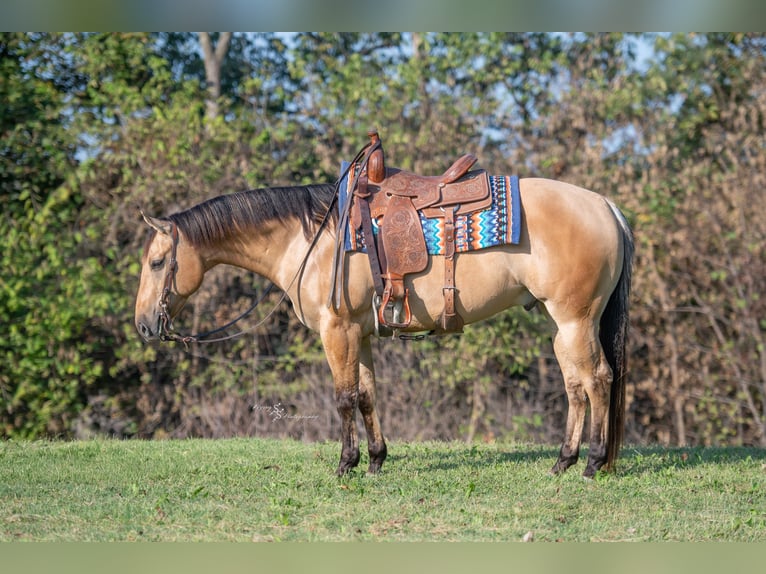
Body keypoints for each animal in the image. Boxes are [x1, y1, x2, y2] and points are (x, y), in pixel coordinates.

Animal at [134, 176, 633, 478]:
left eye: (158, 262)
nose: (143, 326)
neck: (312, 241)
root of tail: (606, 205)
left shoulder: (336, 331)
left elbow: (343, 398)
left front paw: (345, 464)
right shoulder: (360, 333)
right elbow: (367, 395)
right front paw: (375, 461)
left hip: (575, 320)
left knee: (598, 380)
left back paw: (593, 463)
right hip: (562, 326)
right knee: (575, 386)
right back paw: (563, 462)